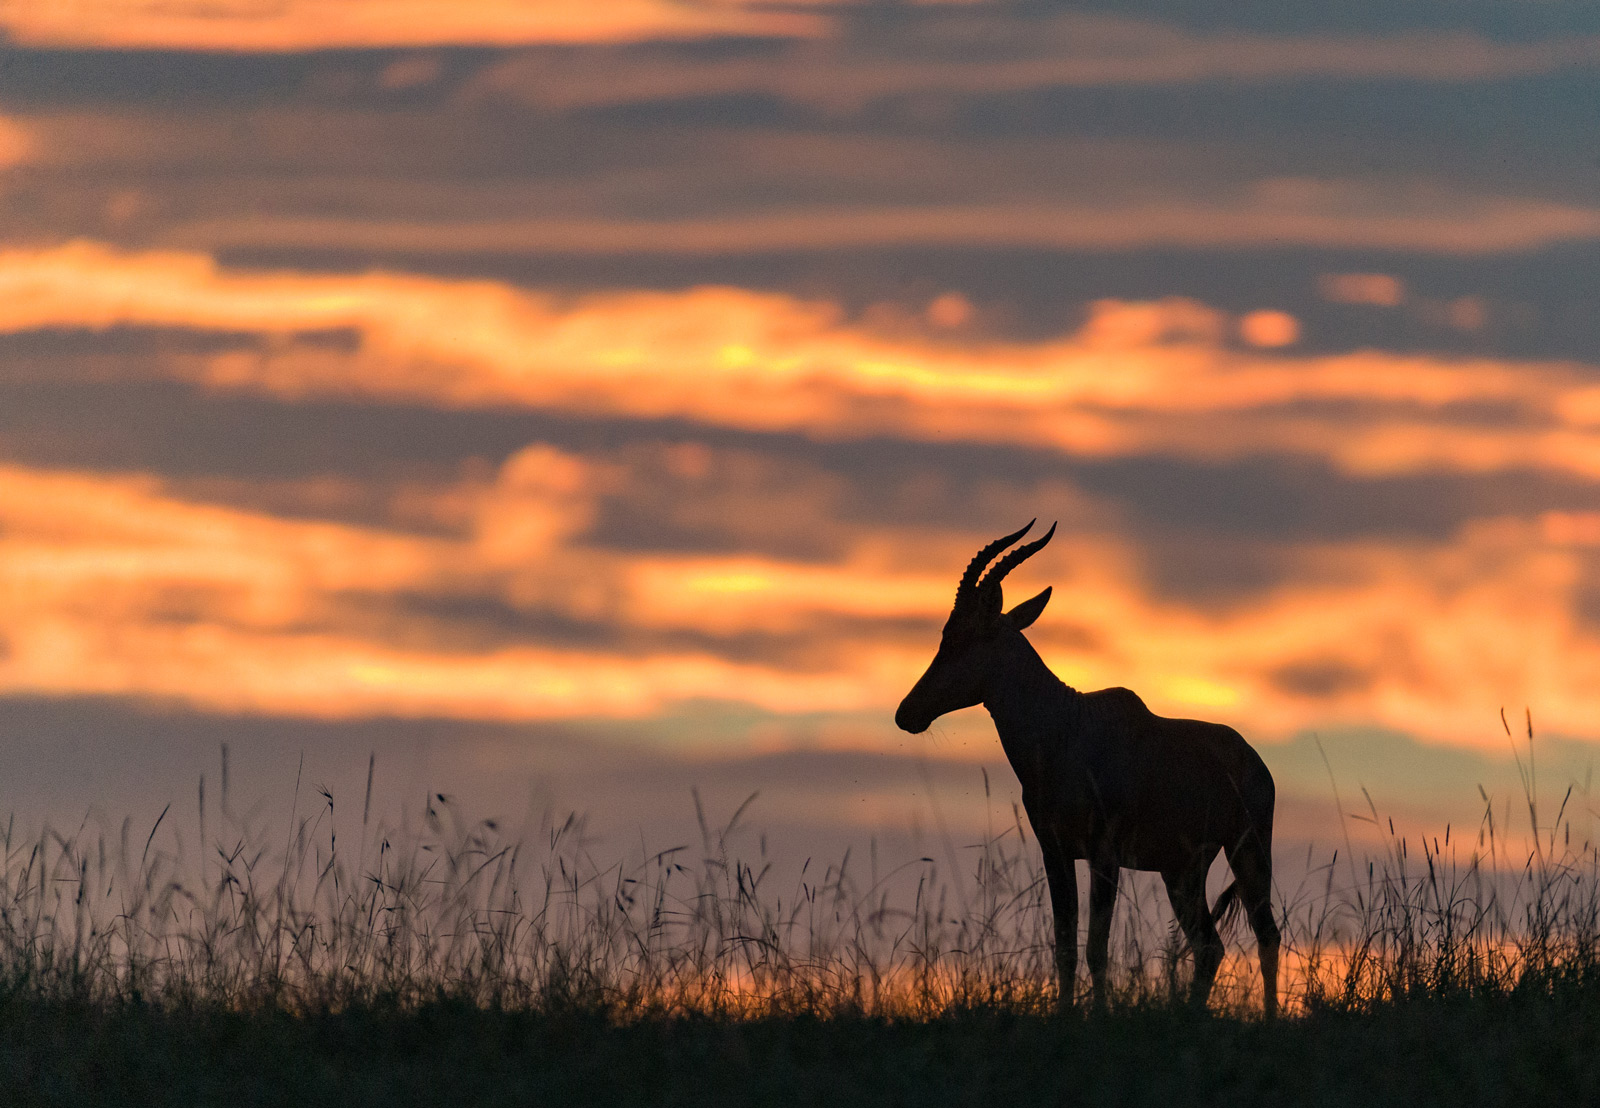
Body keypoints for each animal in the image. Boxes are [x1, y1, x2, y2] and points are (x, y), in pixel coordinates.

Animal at [896, 525, 1280, 1018]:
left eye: (964, 635)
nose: (907, 713)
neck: (1069, 728)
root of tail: (1253, 760)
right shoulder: (1056, 853)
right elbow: (1065, 947)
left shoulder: (1104, 855)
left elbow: (1097, 947)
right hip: (1181, 870)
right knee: (1209, 945)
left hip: (1247, 850)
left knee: (1265, 933)